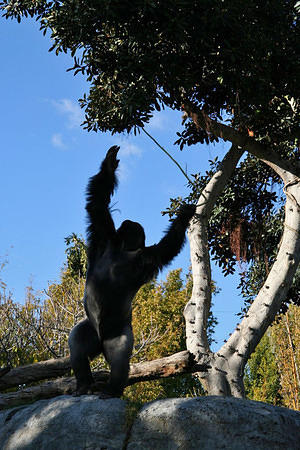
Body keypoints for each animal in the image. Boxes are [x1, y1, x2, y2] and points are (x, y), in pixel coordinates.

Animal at [67, 146, 195, 396]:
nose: (129, 225)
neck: (125, 250)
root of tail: (101, 342)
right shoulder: (103, 233)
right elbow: (97, 203)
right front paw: (109, 165)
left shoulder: (148, 257)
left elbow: (167, 246)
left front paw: (184, 215)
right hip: (91, 331)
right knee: (77, 345)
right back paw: (84, 383)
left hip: (118, 333)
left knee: (118, 360)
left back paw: (111, 389)